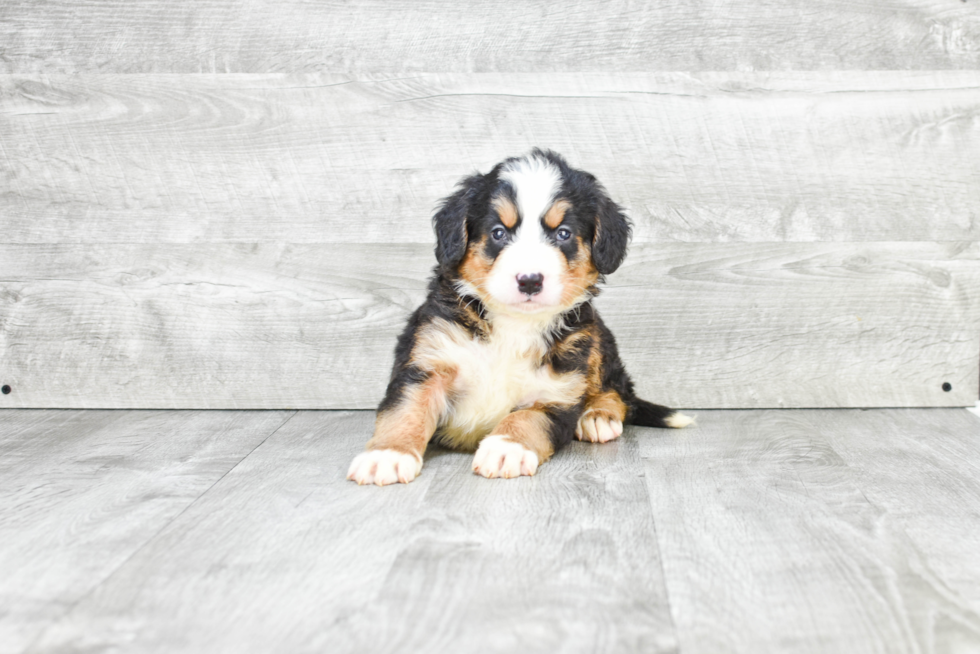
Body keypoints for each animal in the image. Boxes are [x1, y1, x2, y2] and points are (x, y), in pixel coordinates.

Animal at [348, 150, 692, 486]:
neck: (514, 325)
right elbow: (406, 409)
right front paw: (388, 455)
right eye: (498, 233)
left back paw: (597, 416)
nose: (529, 280)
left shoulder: (559, 388)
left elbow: (527, 418)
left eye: (563, 234)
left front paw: (506, 448)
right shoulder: (429, 360)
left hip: (598, 342)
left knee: (618, 391)